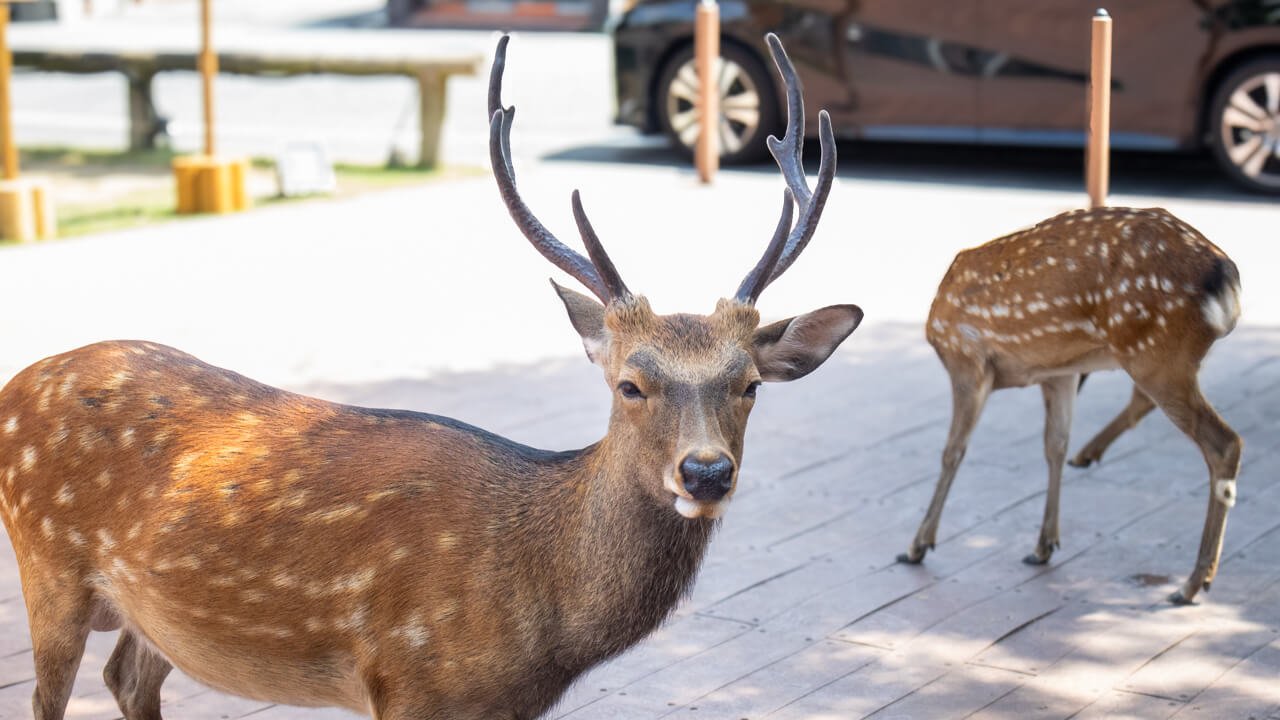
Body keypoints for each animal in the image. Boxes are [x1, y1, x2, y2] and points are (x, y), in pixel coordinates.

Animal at [0, 34, 860, 720]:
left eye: (749, 385)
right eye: (630, 385)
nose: (706, 471)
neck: (540, 624)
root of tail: (18, 380)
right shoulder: (410, 681)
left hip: (147, 610)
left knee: (127, 678)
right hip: (46, 565)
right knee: (48, 697)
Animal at [898, 206, 1242, 605]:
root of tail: (1226, 278)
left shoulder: (966, 360)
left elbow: (953, 451)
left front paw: (917, 545)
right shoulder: (1060, 372)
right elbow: (1054, 445)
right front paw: (1043, 545)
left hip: (1156, 354)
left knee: (1224, 442)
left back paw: (1192, 583)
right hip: (1162, 359)